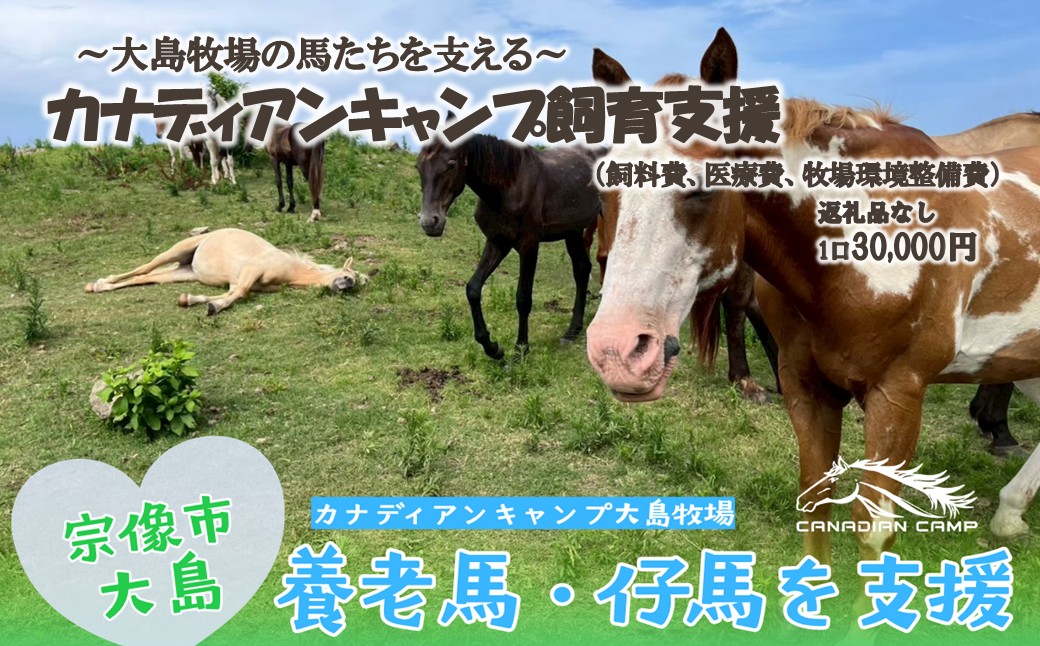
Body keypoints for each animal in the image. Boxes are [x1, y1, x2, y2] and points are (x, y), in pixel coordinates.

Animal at [85, 228, 364, 316]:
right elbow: (240, 293)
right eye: (347, 275)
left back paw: (101, 286)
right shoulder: (250, 272)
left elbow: (232, 294)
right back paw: (97, 283)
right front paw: (213, 308)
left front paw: (190, 300)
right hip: (175, 251)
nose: (347, 285)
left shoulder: (238, 282)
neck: (291, 269)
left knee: (146, 278)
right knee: (143, 268)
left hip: (183, 272)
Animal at [416, 131, 603, 359]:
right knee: (582, 270)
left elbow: (523, 298)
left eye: (451, 164)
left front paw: (521, 348)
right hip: (573, 232)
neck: (507, 187)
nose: (429, 222)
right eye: (418, 166)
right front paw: (492, 348)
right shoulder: (497, 242)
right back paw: (572, 331)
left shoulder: (529, 245)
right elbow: (473, 289)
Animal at [583, 27, 1040, 629]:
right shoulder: (807, 390)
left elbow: (874, 535)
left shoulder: (897, 395)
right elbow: (815, 506)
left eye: (702, 185)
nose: (617, 351)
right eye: (602, 187)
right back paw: (1010, 513)